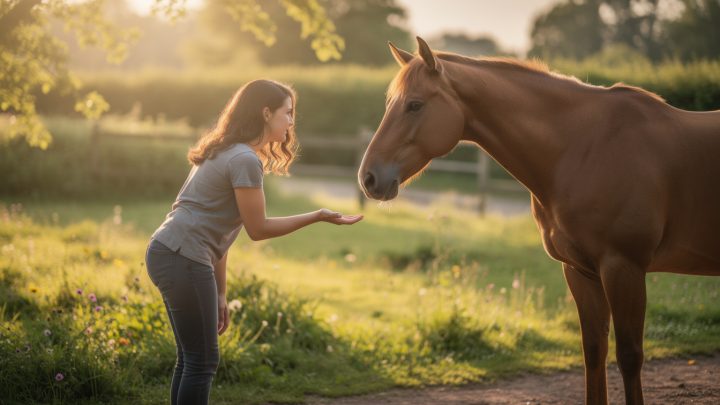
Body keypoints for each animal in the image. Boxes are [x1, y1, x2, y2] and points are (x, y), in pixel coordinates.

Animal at [357, 36, 720, 405]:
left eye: (414, 105)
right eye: (390, 103)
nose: (368, 178)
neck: (583, 148)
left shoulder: (624, 268)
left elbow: (630, 356)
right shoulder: (580, 271)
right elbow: (594, 351)